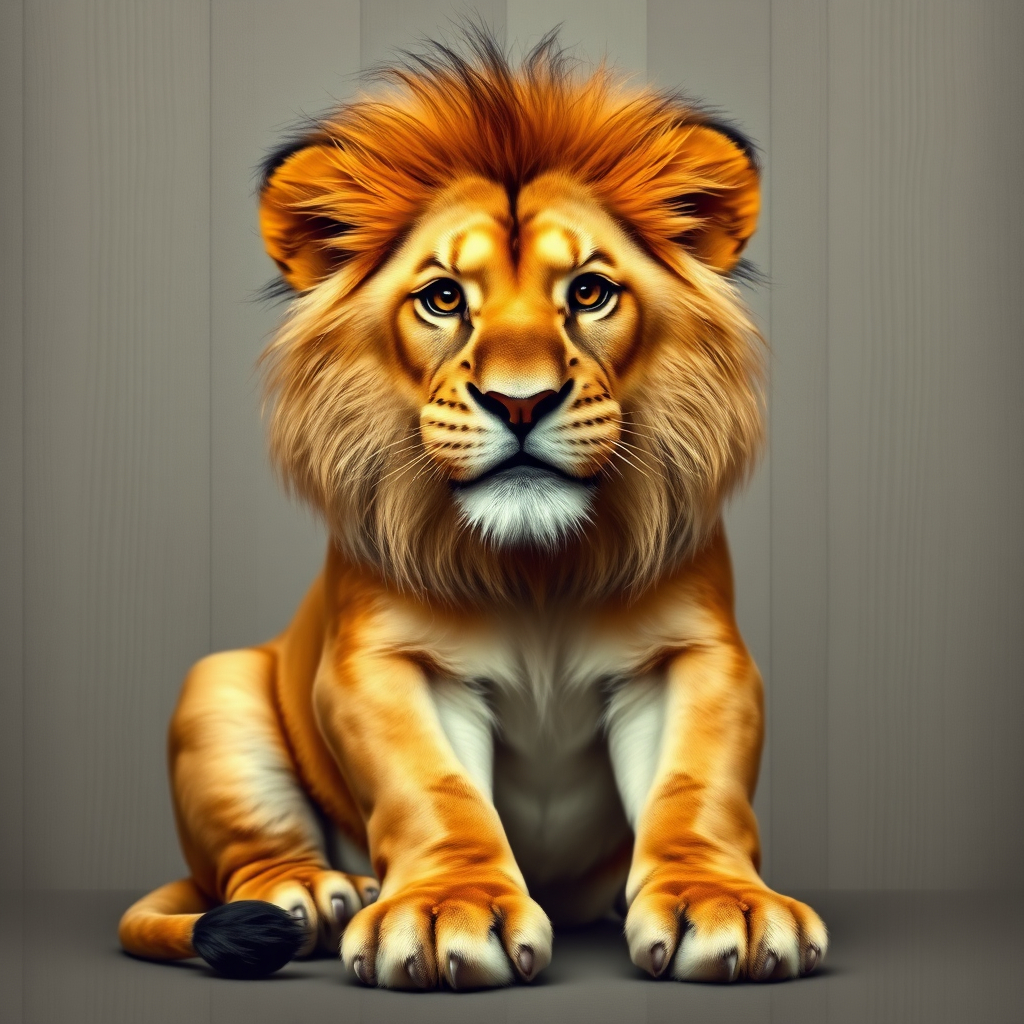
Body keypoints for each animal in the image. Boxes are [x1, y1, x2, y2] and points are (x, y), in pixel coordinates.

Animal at [119, 31, 828, 987]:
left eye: (590, 292)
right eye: (445, 297)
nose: (519, 403)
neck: (537, 576)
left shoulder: (694, 655)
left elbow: (695, 787)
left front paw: (725, 906)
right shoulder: (383, 664)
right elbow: (435, 791)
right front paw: (444, 915)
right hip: (217, 687)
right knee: (250, 858)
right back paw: (308, 894)